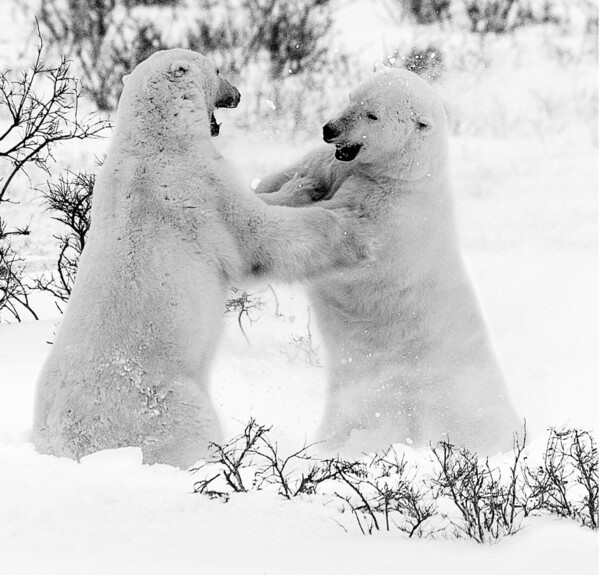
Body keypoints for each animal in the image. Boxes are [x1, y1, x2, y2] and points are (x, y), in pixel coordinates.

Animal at [31, 50, 370, 468]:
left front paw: (300, 182)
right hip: (162, 403)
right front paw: (338, 218)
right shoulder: (200, 188)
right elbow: (258, 236)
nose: (238, 93)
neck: (157, 139)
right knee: (190, 427)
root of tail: (65, 445)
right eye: (219, 69)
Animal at [258, 66, 520, 454]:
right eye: (351, 97)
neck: (403, 174)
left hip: (437, 388)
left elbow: (335, 230)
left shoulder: (386, 213)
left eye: (372, 115)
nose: (329, 130)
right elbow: (292, 174)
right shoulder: (333, 165)